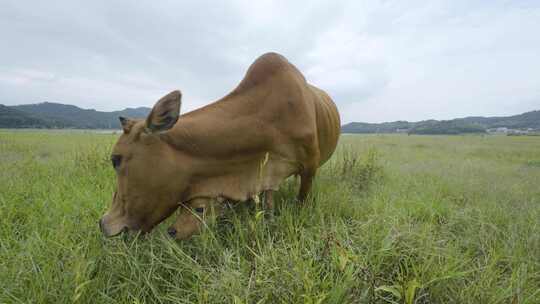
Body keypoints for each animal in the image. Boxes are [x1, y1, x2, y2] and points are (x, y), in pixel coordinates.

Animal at [99, 53, 340, 241]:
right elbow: (268, 202)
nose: (103, 223)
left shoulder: (309, 168)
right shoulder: (267, 174)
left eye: (115, 159)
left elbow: (301, 202)